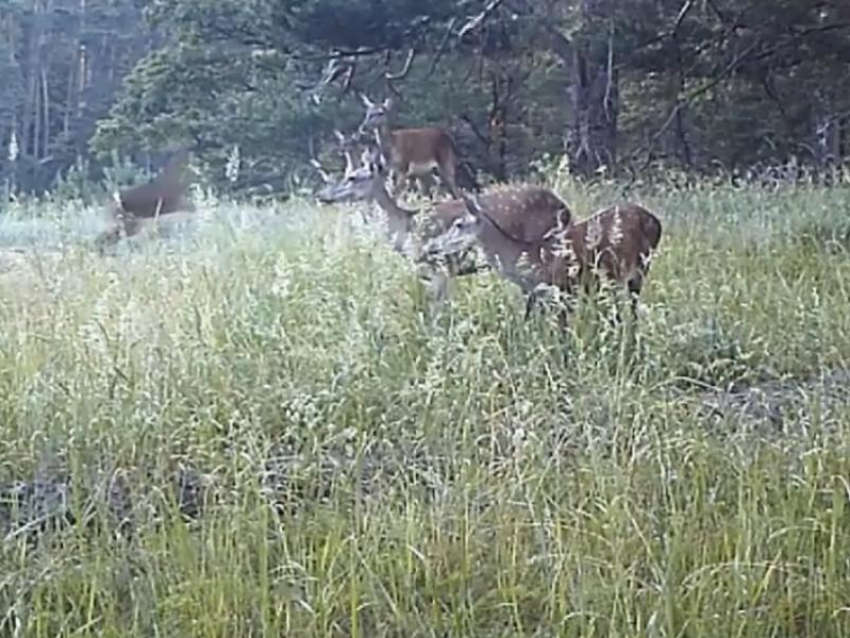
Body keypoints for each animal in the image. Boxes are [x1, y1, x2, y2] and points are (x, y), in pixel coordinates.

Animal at [424, 194, 664, 324]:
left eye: (459, 224)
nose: (433, 246)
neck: (536, 265)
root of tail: (657, 222)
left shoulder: (564, 289)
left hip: (634, 269)